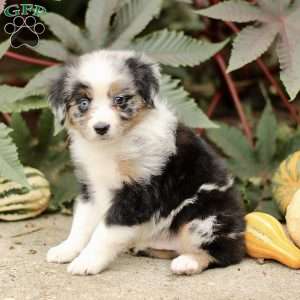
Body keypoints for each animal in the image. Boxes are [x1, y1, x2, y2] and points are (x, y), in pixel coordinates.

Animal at [45, 49, 245, 276]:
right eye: (83, 103)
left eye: (120, 99)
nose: (101, 128)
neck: (112, 146)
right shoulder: (91, 187)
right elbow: (81, 223)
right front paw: (66, 249)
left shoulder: (138, 191)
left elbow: (105, 231)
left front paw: (87, 261)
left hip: (205, 216)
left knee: (225, 253)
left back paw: (188, 262)